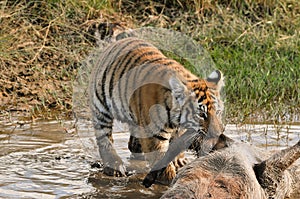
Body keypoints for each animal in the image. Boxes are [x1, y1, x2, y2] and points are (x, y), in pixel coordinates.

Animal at [88, 36, 224, 183]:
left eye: (218, 112)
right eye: (201, 114)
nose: (218, 133)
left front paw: (179, 162)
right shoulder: (154, 136)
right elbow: (161, 160)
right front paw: (170, 179)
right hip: (101, 106)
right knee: (104, 137)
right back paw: (114, 166)